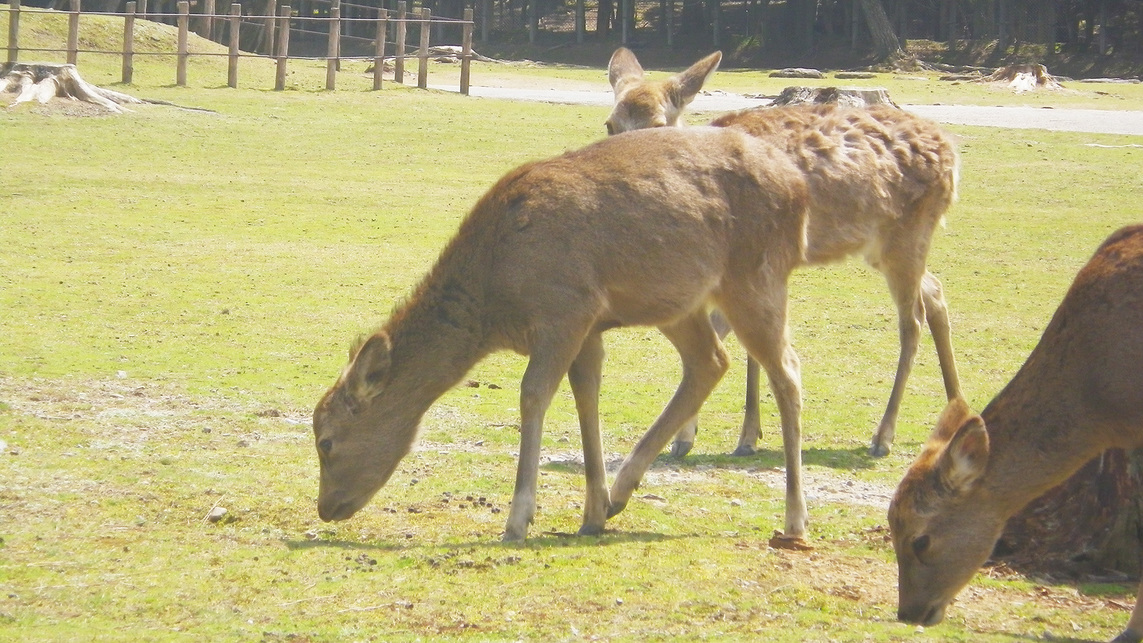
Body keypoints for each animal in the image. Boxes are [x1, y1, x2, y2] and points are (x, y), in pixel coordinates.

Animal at [313, 125, 813, 543]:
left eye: (326, 441)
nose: (325, 508)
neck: (495, 295)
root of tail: (799, 188)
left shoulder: (566, 308)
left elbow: (533, 395)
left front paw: (518, 519)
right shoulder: (588, 326)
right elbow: (585, 395)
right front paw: (592, 512)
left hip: (756, 278)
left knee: (787, 372)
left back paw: (794, 520)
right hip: (677, 300)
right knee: (710, 361)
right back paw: (621, 493)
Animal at [603, 46, 960, 456]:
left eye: (659, 123)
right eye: (610, 125)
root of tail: (953, 153)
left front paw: (711, 436)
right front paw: (732, 434)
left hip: (907, 236)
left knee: (912, 319)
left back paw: (883, 436)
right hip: (885, 245)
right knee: (935, 291)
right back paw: (958, 408)